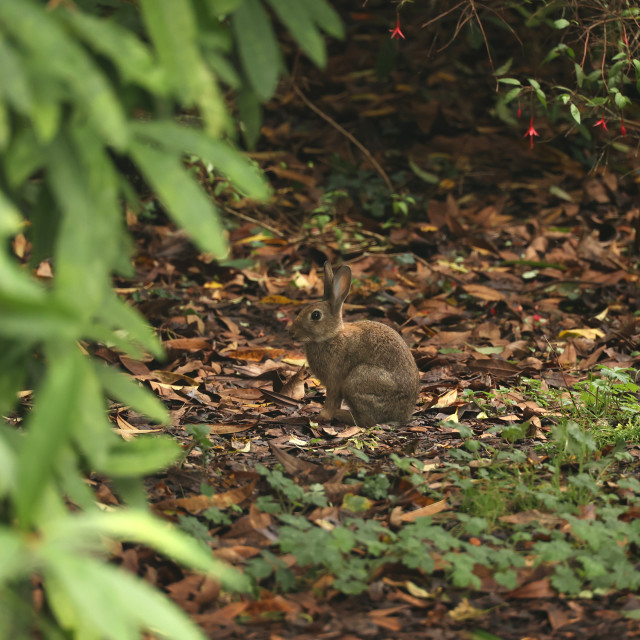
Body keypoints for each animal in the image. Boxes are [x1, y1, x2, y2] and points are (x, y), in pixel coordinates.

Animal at [290, 262, 420, 428]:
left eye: (316, 315)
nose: (292, 333)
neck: (331, 336)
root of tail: (403, 414)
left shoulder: (334, 380)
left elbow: (331, 400)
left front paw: (323, 416)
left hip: (358, 380)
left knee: (369, 421)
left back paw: (341, 415)